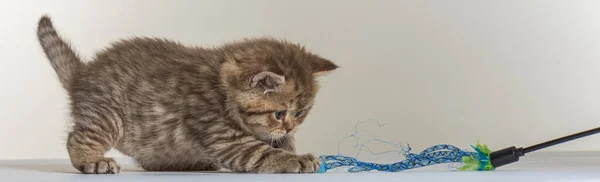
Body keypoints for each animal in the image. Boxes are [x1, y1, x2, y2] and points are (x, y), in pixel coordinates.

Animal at [36, 15, 338, 173]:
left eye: (300, 113)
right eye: (279, 113)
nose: (290, 127)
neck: (222, 89)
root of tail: (83, 74)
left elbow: (276, 143)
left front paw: (290, 148)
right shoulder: (223, 135)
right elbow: (260, 152)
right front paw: (294, 159)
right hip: (107, 116)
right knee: (78, 137)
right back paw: (92, 161)